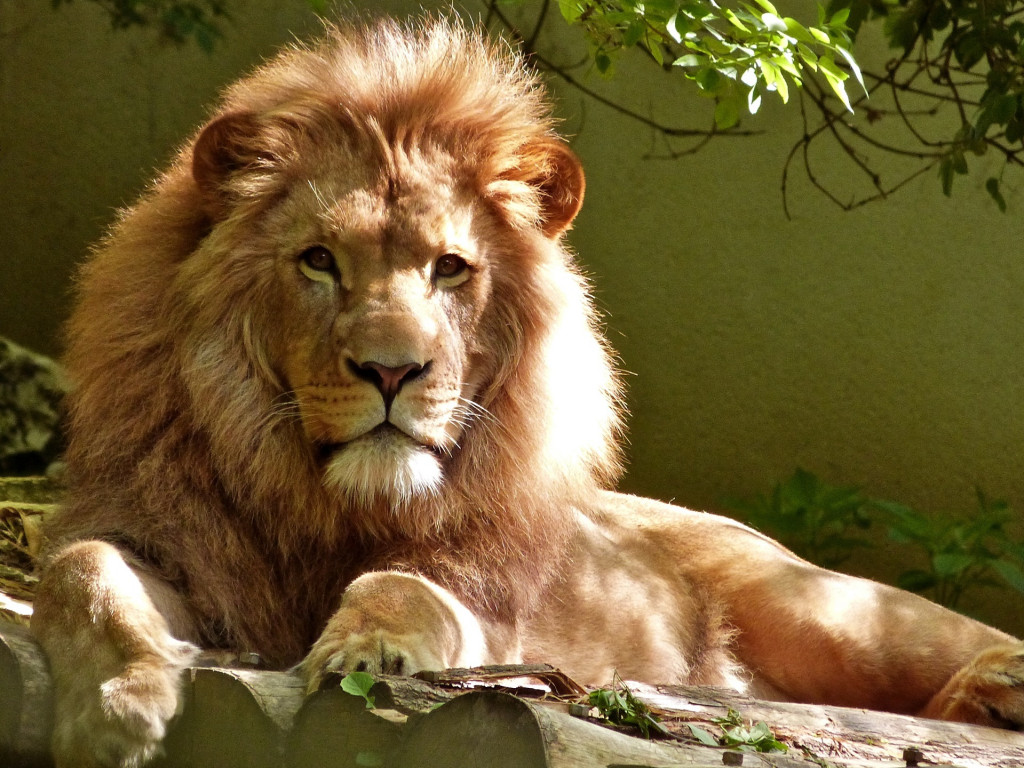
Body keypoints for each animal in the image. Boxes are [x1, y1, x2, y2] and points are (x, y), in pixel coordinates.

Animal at [30, 16, 1024, 768]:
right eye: (318, 261)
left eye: (449, 268)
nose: (392, 371)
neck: (327, 503)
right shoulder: (166, 540)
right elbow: (81, 570)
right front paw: (119, 702)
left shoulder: (490, 615)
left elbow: (405, 586)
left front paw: (367, 646)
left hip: (825, 610)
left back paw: (997, 685)